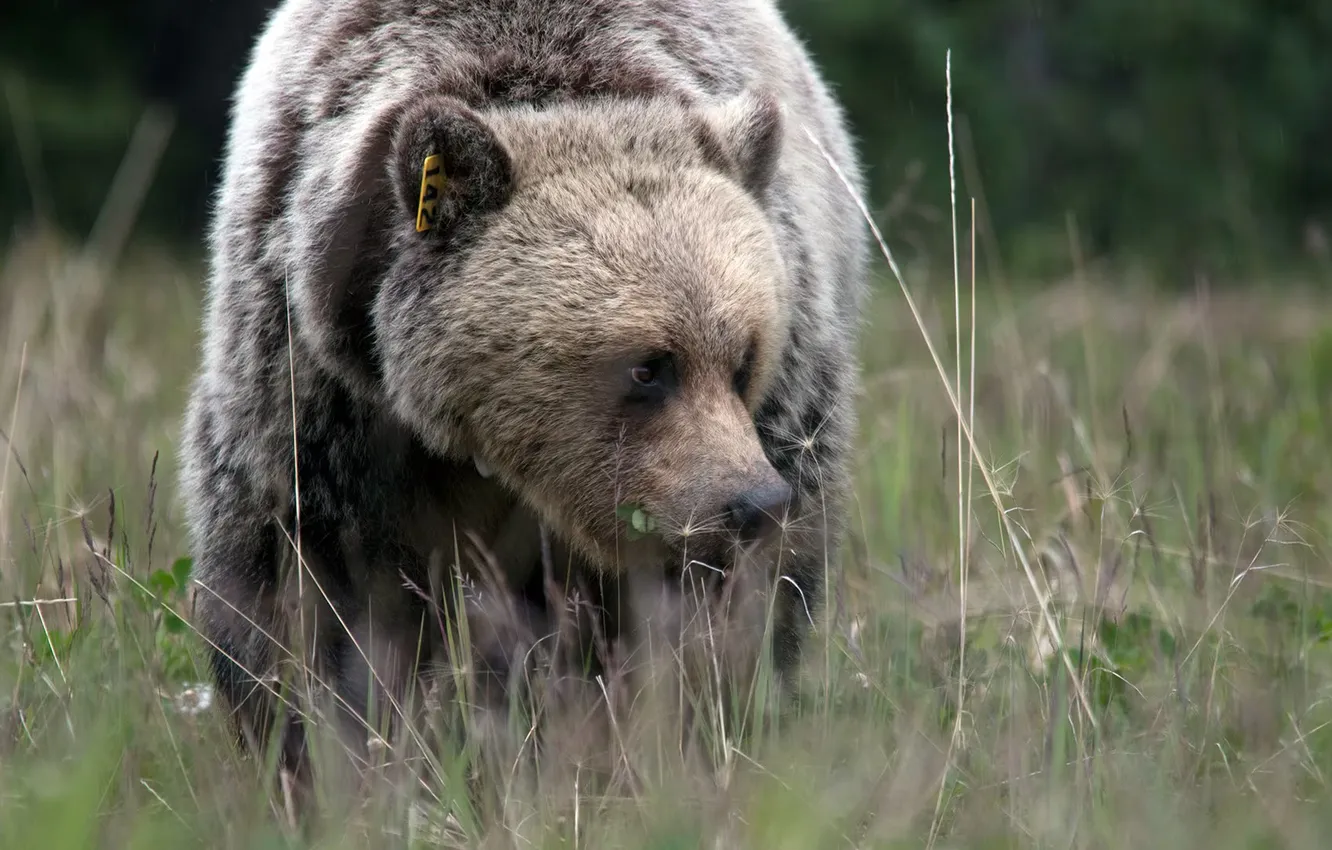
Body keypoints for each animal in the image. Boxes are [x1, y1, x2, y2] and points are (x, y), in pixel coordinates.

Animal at [178, 0, 869, 802]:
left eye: (743, 357)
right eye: (648, 367)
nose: (752, 502)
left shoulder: (775, 405)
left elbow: (725, 618)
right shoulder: (319, 393)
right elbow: (307, 600)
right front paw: (325, 764)